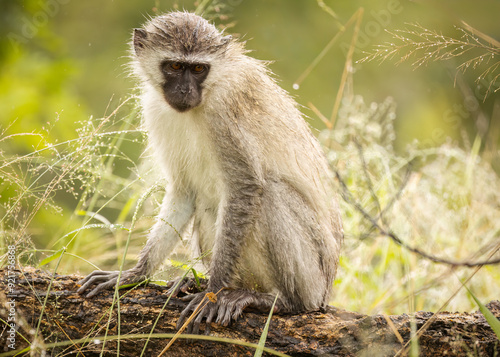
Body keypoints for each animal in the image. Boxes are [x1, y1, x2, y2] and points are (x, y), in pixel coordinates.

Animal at [79, 11, 344, 334]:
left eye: (198, 68)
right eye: (175, 66)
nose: (185, 91)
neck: (209, 90)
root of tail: (324, 293)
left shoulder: (225, 112)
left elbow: (245, 186)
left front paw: (212, 293)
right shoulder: (157, 110)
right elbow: (183, 192)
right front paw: (135, 273)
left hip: (313, 278)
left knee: (269, 194)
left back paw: (278, 301)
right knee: (207, 204)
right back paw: (195, 282)